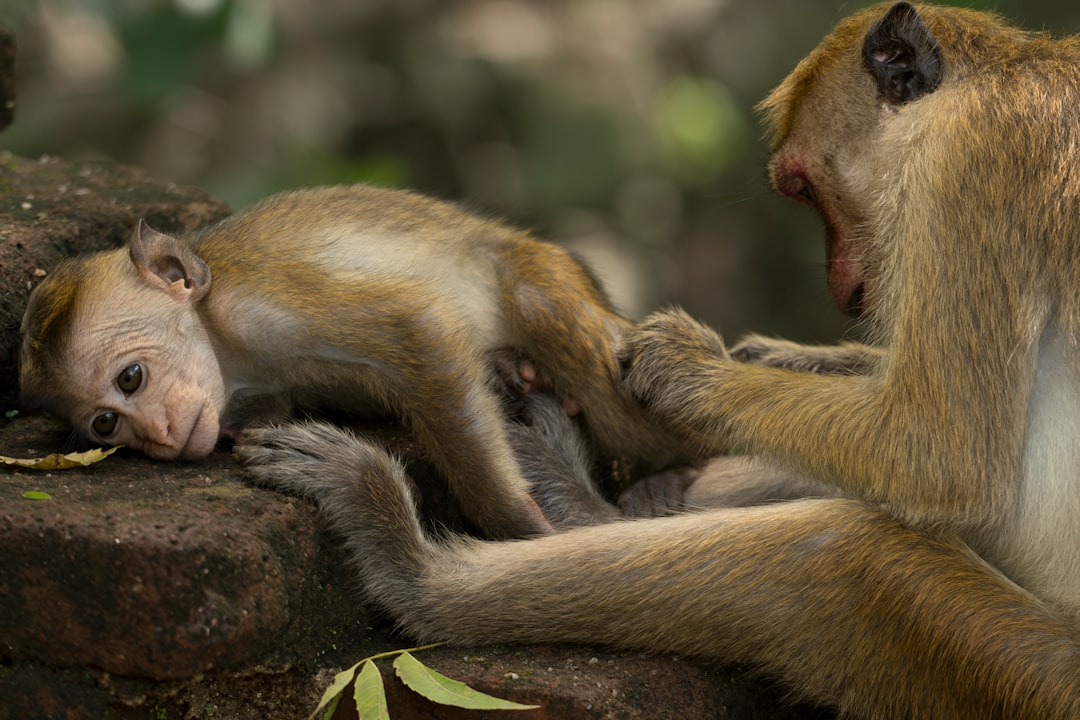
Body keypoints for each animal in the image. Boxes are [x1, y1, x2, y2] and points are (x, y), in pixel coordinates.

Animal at [23, 183, 708, 537]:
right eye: (106, 425)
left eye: (131, 377)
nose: (159, 435)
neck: (222, 342)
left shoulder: (262, 307)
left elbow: (418, 326)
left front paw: (517, 521)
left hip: (547, 268)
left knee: (542, 304)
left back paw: (671, 469)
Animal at [238, 5, 1080, 720]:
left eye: (806, 187)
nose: (846, 287)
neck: (993, 81)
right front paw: (786, 355)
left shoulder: (971, 162)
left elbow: (943, 455)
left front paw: (684, 368)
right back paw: (588, 506)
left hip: (1018, 672)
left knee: (840, 553)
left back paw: (408, 561)